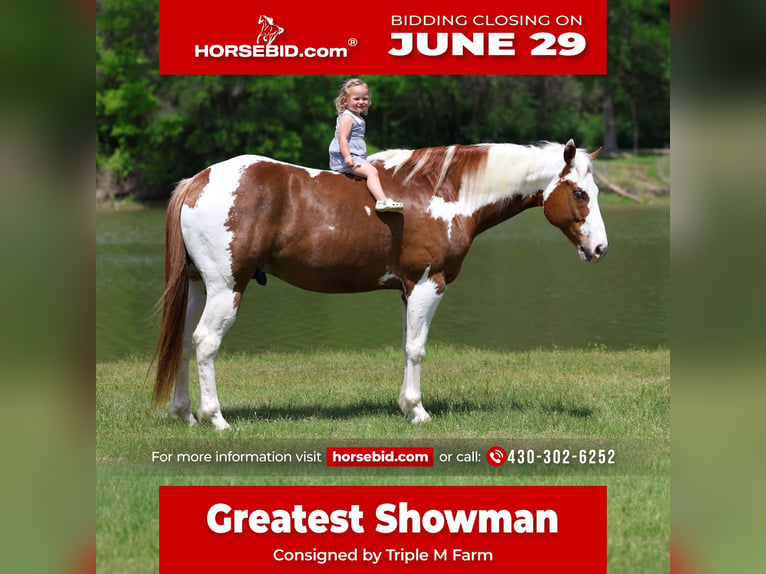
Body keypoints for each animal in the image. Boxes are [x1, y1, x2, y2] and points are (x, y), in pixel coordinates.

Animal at [151, 139, 607, 430]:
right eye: (580, 194)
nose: (600, 248)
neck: (443, 193)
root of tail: (198, 181)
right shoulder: (428, 283)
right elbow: (417, 348)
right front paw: (418, 411)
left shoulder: (408, 290)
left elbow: (407, 345)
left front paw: (406, 407)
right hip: (226, 288)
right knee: (206, 343)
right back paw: (215, 419)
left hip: (198, 287)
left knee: (184, 342)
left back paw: (186, 414)